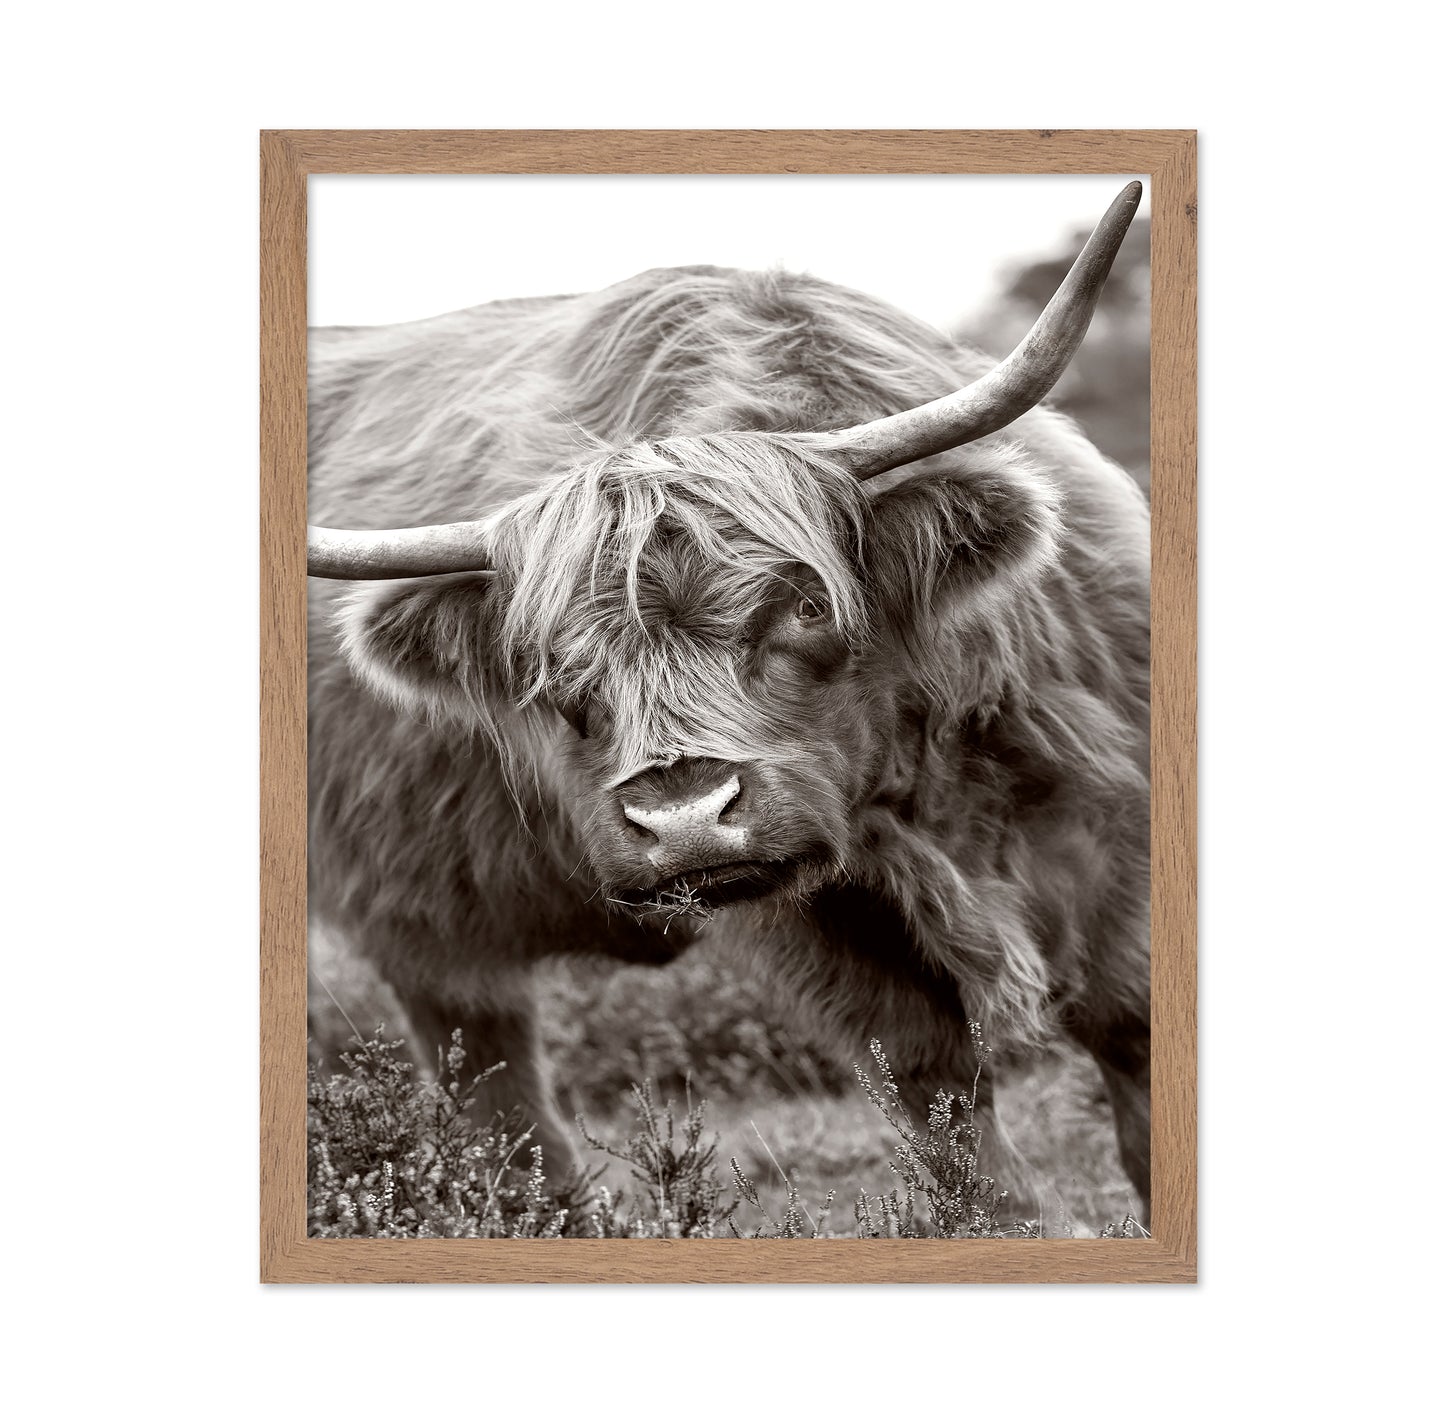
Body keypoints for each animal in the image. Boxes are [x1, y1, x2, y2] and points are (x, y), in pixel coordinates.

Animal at [306, 183, 1151, 1218]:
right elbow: (947, 1110)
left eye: (804, 605)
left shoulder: (1112, 827)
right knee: (498, 1093)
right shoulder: (831, 932)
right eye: (551, 664)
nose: (683, 819)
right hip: (416, 916)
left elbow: (1132, 1041)